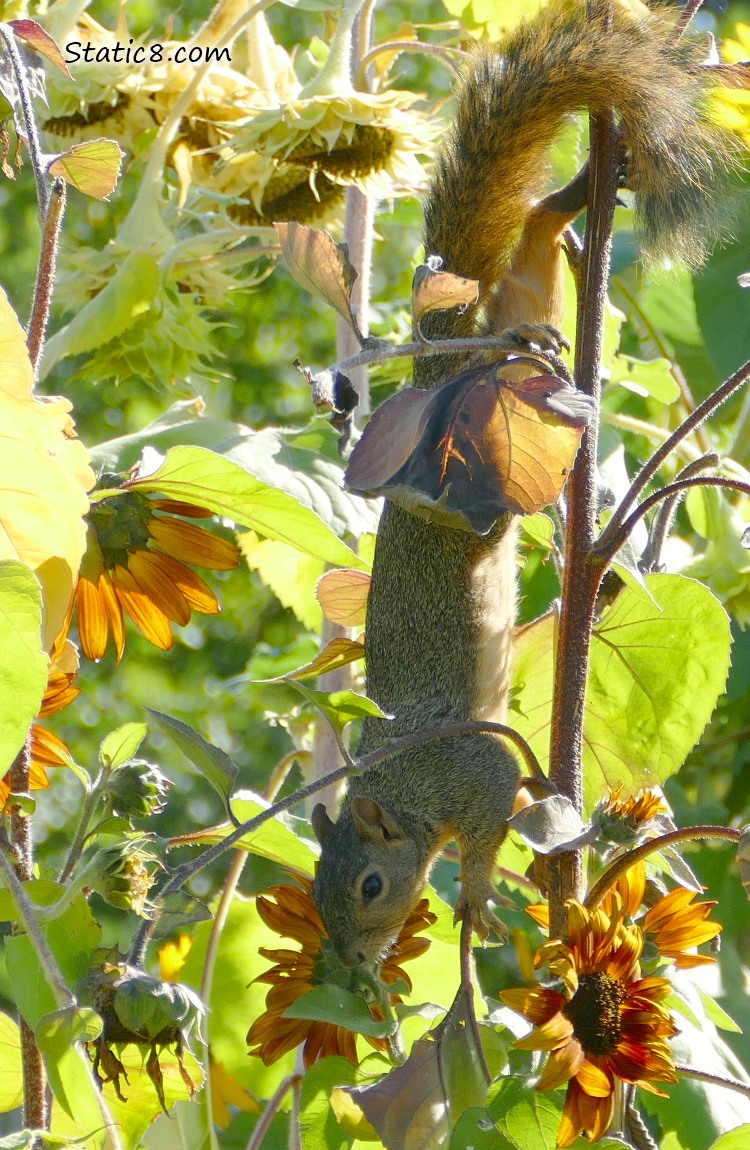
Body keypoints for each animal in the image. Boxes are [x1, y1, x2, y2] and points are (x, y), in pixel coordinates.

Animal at [308, 4, 731, 966]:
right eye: (315, 896)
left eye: (370, 886)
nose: (352, 966)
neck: (407, 790)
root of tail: (441, 352)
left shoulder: (477, 770)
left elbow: (493, 819)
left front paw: (471, 897)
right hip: (518, 303)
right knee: (534, 236)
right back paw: (577, 191)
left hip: (484, 460)